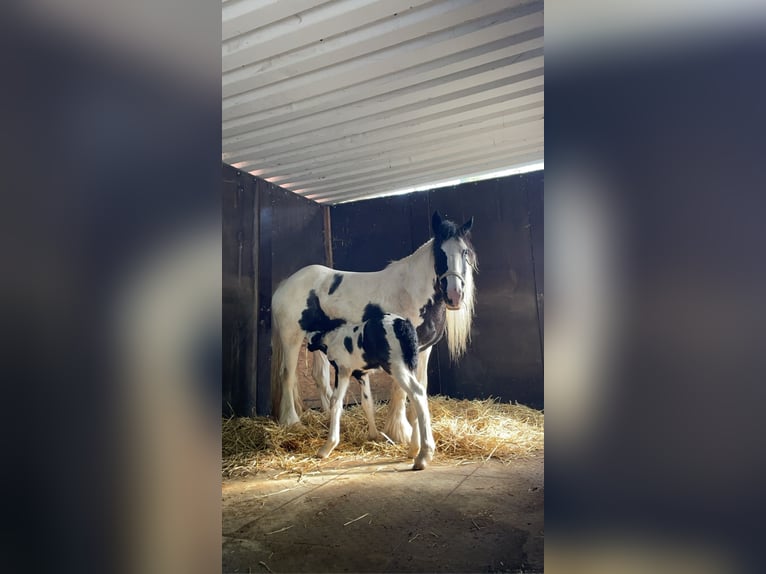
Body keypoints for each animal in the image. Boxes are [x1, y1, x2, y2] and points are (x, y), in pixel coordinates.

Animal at [268, 212, 476, 440]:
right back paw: (291, 421)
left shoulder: (423, 349)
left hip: (318, 341)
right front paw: (400, 432)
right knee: (287, 375)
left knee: (320, 377)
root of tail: (285, 284)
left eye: (464, 251)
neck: (410, 292)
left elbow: (420, 384)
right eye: (440, 252)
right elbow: (400, 390)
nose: (454, 296)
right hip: (292, 337)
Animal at [308, 306, 436, 472]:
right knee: (418, 396)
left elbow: (335, 401)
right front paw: (373, 436)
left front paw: (327, 447)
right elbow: (367, 403)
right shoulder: (362, 374)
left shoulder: (343, 370)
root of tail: (404, 326)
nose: (308, 343)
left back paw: (423, 456)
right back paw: (414, 450)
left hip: (397, 367)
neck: (334, 337)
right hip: (410, 365)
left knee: (417, 392)